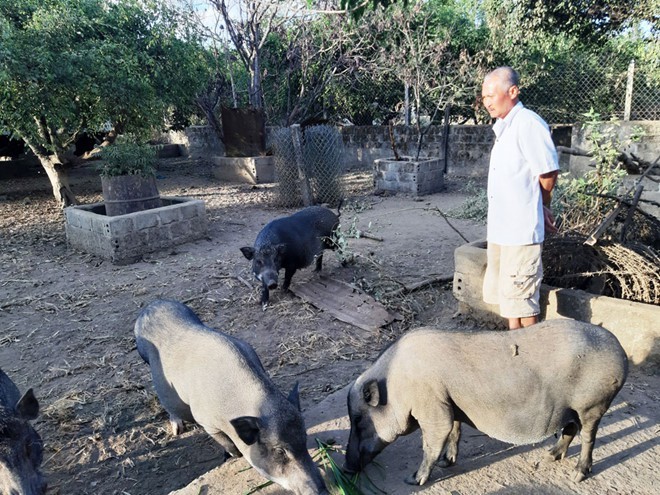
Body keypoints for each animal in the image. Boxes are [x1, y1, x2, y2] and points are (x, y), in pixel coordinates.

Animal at [135, 298, 330, 495]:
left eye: (304, 440)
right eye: (280, 451)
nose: (323, 491)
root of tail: (152, 304)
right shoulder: (207, 423)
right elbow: (227, 444)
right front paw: (231, 456)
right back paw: (177, 430)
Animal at [346, 320, 628, 486]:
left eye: (358, 419)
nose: (347, 468)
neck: (397, 384)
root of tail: (621, 353)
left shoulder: (432, 407)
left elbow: (433, 442)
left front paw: (413, 480)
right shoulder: (451, 405)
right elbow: (455, 432)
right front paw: (448, 462)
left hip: (592, 405)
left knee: (588, 437)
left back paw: (577, 476)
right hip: (569, 409)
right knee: (570, 429)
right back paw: (547, 458)